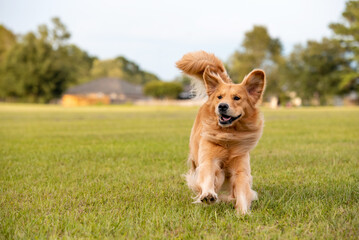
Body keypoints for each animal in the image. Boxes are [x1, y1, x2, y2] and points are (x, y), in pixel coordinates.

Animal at [176, 50, 266, 214]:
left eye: (237, 98)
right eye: (219, 97)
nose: (222, 106)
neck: (228, 136)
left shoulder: (240, 168)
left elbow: (242, 190)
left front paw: (243, 212)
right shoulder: (208, 160)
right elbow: (208, 177)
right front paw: (208, 194)